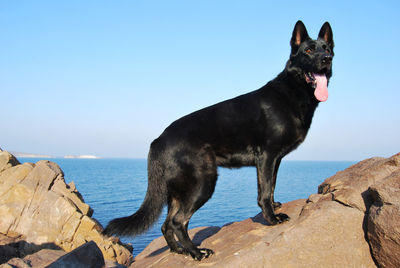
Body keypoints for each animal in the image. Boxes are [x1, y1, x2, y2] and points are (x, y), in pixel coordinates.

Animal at [104, 20, 332, 260]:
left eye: (327, 49)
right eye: (309, 50)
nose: (327, 59)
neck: (293, 91)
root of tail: (159, 140)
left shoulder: (275, 160)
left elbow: (271, 187)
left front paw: (275, 206)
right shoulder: (267, 157)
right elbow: (264, 191)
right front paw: (271, 218)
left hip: (179, 192)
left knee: (166, 225)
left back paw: (179, 250)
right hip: (203, 183)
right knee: (177, 222)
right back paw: (197, 252)